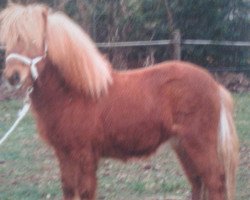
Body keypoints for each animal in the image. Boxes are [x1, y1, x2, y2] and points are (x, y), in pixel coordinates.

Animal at [0, 3, 238, 200]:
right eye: (7, 42)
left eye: (34, 40)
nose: (13, 77)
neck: (74, 93)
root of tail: (214, 85)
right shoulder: (64, 154)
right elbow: (68, 189)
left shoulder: (85, 155)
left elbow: (85, 191)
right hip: (182, 146)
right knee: (198, 182)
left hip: (199, 145)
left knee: (214, 183)